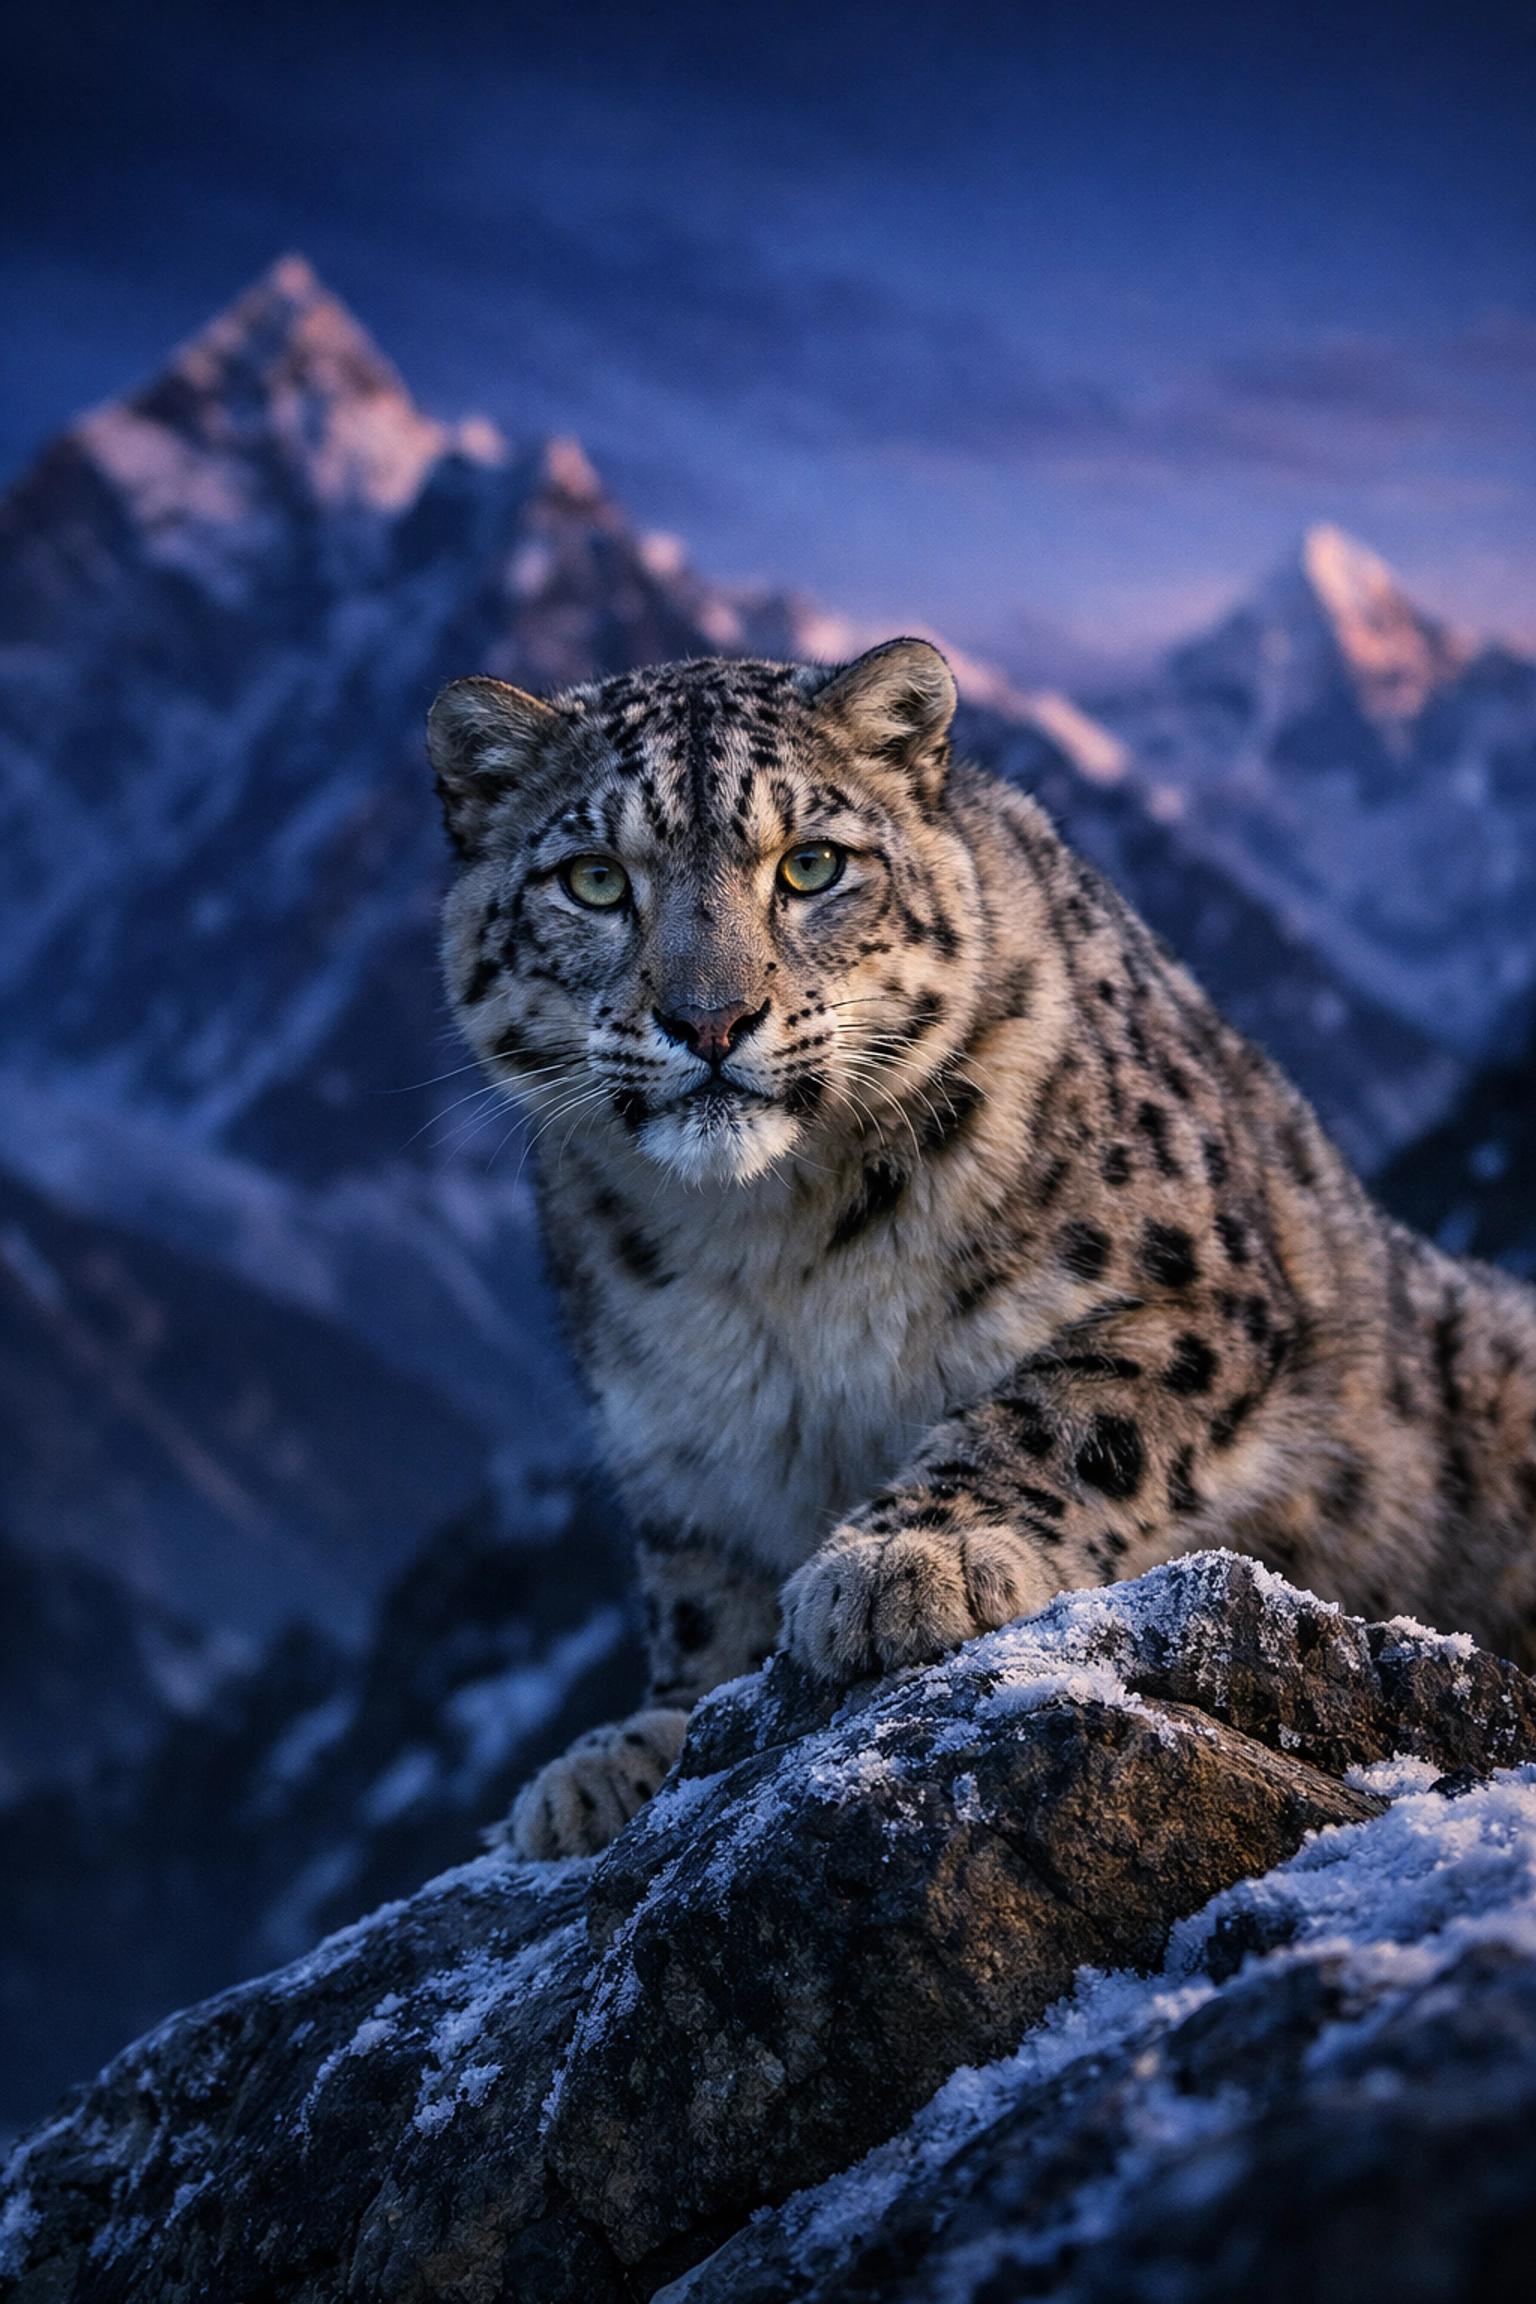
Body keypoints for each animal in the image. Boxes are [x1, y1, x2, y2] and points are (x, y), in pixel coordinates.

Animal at [428, 638, 1536, 1859]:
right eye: (593, 880)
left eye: (812, 866)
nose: (709, 1021)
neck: (766, 1255)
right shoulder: (676, 1437)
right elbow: (696, 1590)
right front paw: (625, 1749)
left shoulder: (1189, 1296)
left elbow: (1057, 1408)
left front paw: (911, 1560)